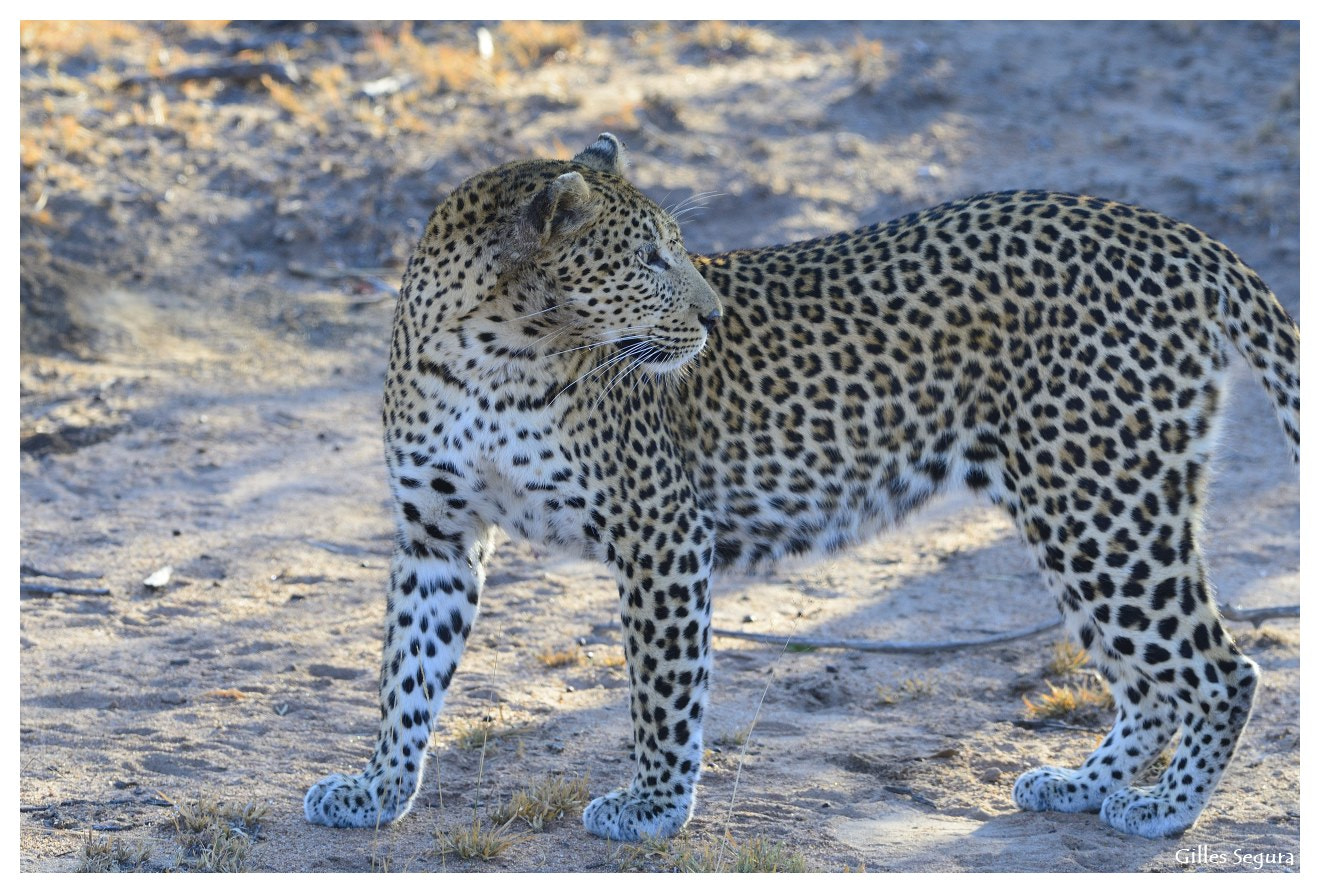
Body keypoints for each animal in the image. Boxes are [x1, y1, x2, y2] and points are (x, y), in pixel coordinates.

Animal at [306, 133, 1298, 844]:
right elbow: (407, 674)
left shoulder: (660, 532)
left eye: (680, 250)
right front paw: (378, 788)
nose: (713, 317)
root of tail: (1169, 232)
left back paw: (1165, 808)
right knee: (1154, 683)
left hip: (1097, 499)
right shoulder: (435, 534)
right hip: (1090, 507)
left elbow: (663, 690)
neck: (486, 353)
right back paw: (1083, 784)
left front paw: (652, 806)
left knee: (1223, 668)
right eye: (650, 259)